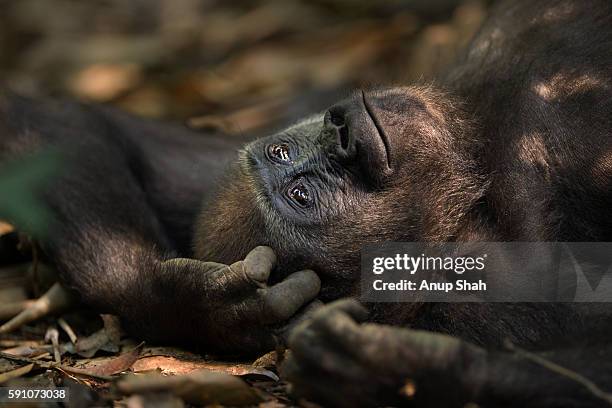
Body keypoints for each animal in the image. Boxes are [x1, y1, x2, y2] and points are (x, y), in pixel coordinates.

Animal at [1, 0, 612, 406]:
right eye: (302, 195)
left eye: (284, 151)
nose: (344, 132)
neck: (469, 196)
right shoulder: (493, 296)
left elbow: (67, 126)